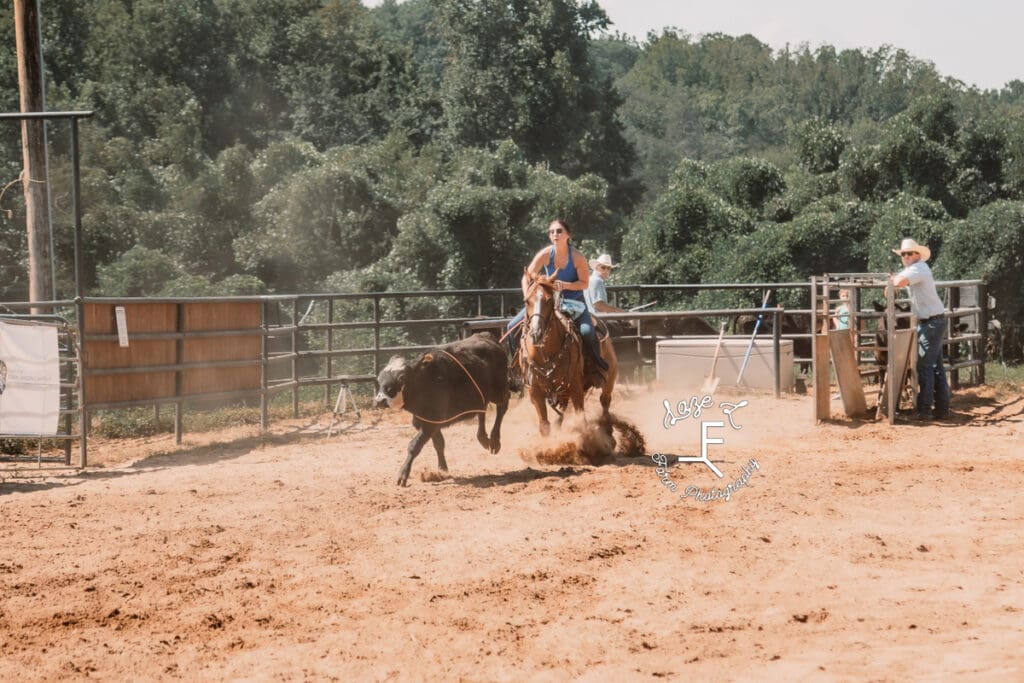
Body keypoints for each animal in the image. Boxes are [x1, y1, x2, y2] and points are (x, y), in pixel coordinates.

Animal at [520, 270, 614, 436]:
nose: (536, 333)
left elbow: (581, 421)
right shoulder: (535, 391)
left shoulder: (576, 388)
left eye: (549, 300)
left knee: (605, 401)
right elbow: (544, 425)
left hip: (610, 377)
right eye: (526, 301)